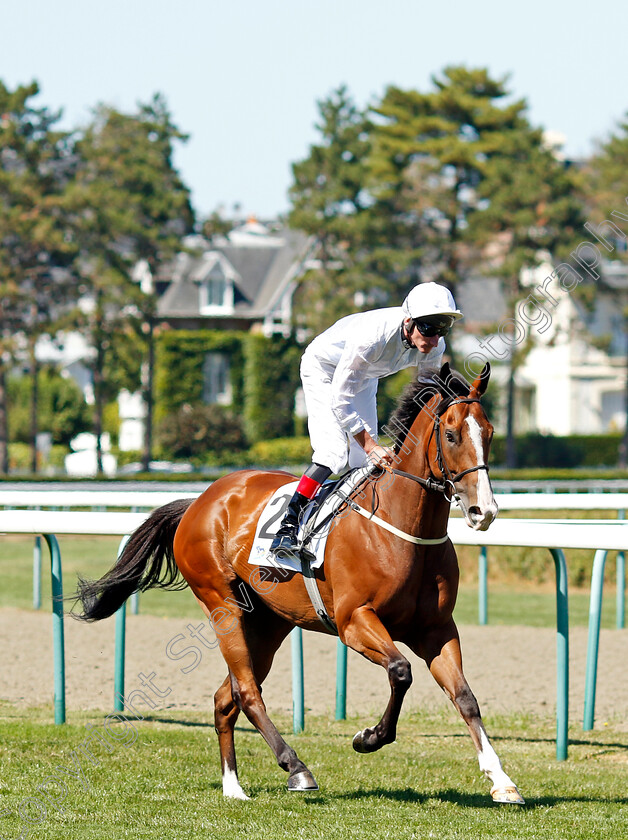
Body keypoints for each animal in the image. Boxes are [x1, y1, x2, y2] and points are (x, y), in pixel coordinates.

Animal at [75, 362, 524, 808]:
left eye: (489, 433)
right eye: (450, 434)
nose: (483, 511)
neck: (402, 531)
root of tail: (200, 501)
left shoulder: (435, 629)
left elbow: (465, 697)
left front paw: (501, 780)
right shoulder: (354, 622)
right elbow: (400, 671)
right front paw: (368, 737)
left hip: (268, 624)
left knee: (226, 698)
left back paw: (233, 786)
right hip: (223, 606)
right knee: (247, 692)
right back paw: (297, 768)